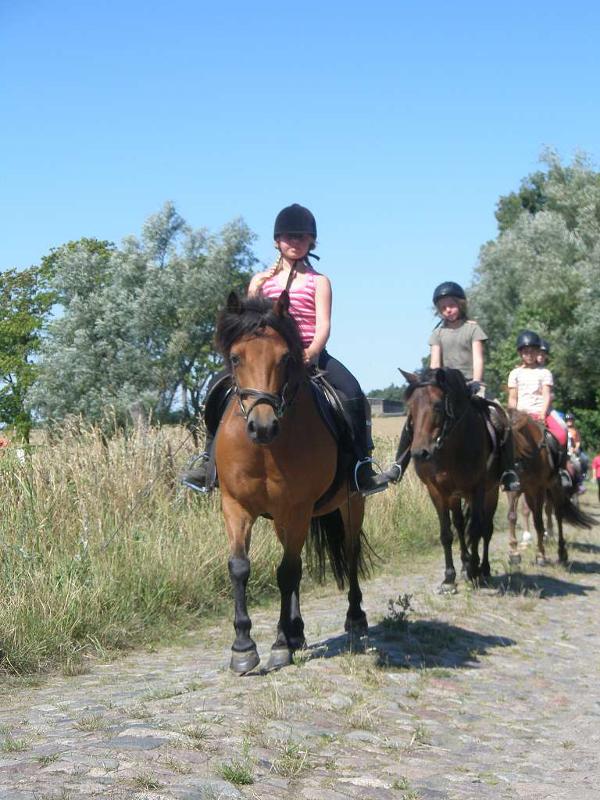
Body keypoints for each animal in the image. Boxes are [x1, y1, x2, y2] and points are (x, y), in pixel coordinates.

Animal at [213, 290, 368, 672]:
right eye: (235, 357)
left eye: (284, 358)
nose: (263, 426)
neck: (265, 449)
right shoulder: (235, 506)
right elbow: (240, 568)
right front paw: (243, 647)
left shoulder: (297, 509)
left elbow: (287, 572)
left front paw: (280, 644)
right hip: (283, 519)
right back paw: (297, 631)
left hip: (352, 502)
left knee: (349, 551)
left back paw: (354, 618)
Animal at [404, 368, 502, 588]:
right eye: (410, 407)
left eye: (438, 406)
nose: (419, 453)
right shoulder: (437, 492)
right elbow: (447, 533)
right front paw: (449, 577)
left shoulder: (477, 489)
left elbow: (476, 529)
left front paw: (474, 570)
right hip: (456, 495)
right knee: (459, 523)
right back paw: (466, 565)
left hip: (491, 492)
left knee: (486, 528)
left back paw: (483, 569)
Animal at [506, 410, 592, 564]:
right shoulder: (515, 490)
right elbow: (512, 516)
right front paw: (514, 553)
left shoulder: (539, 489)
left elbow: (538, 521)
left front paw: (540, 554)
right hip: (529, 493)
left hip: (554, 488)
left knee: (557, 515)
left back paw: (562, 552)